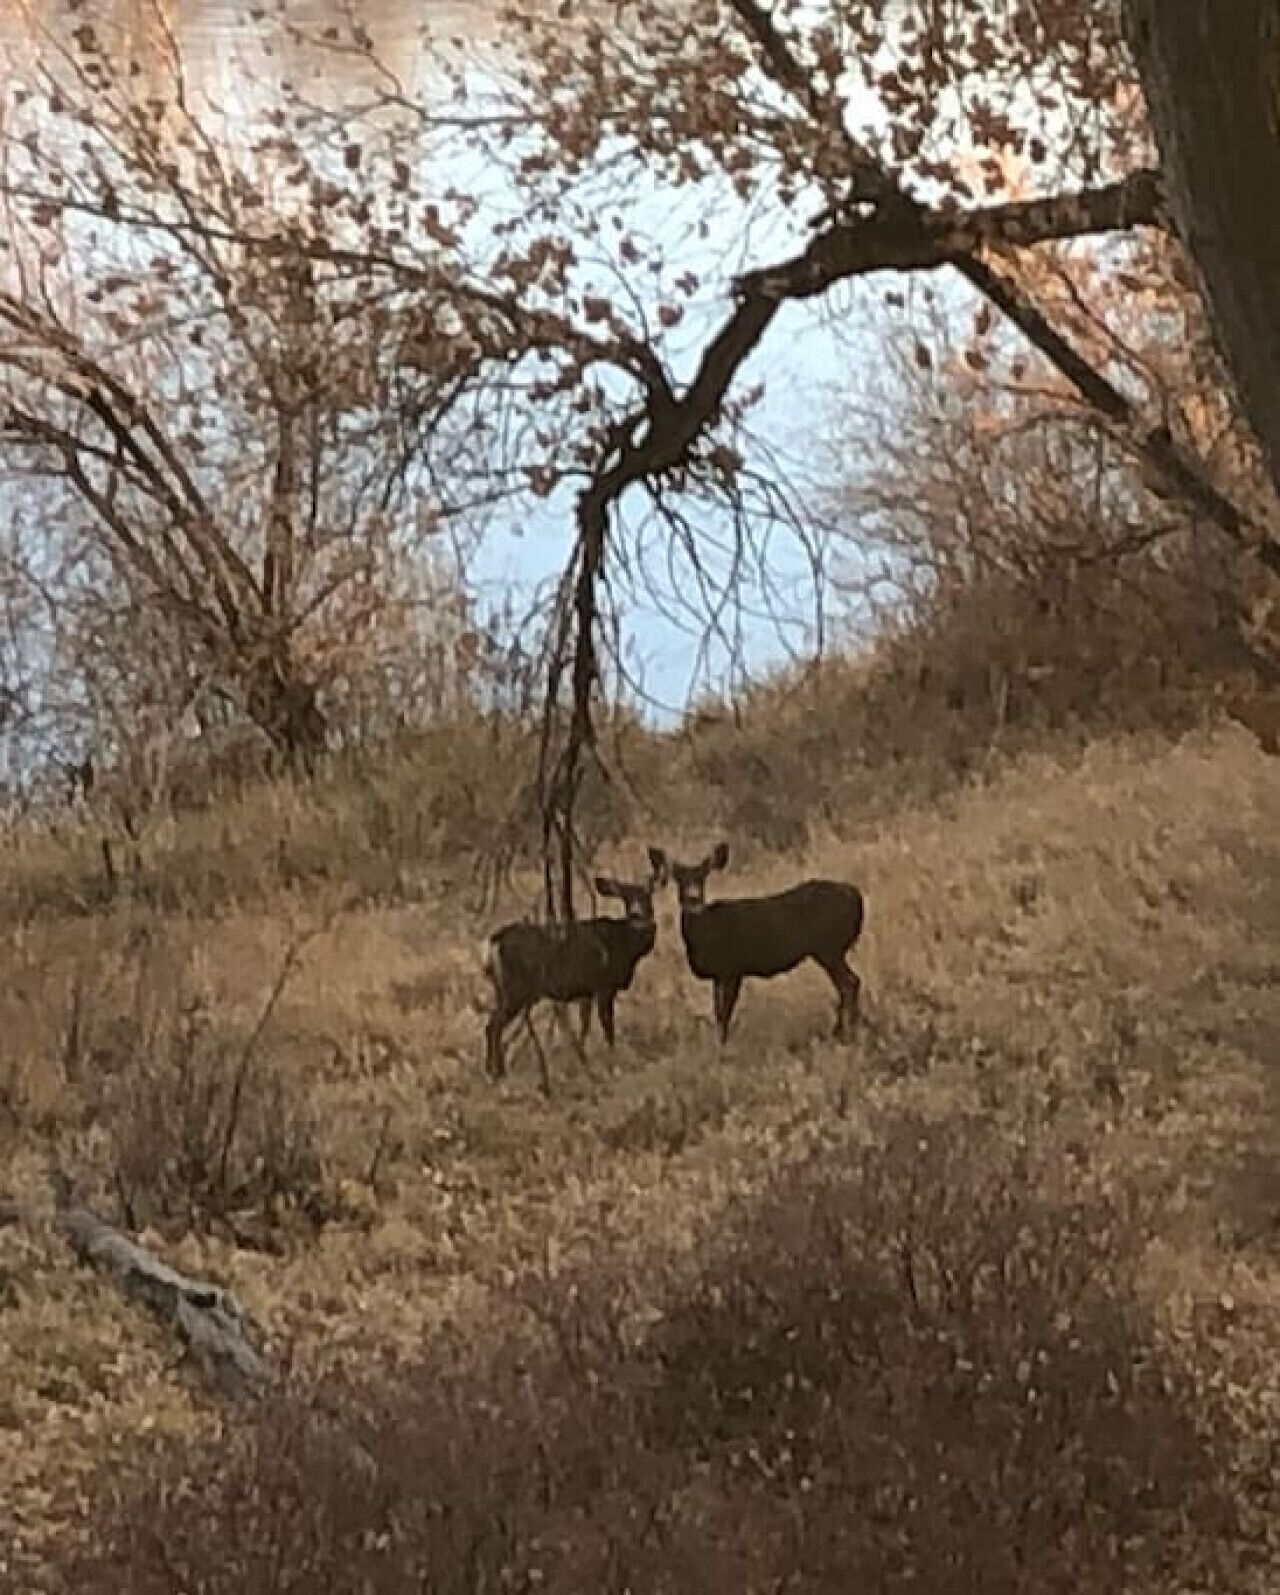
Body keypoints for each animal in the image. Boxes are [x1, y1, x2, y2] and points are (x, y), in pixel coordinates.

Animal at [480, 855, 667, 1080]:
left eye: (647, 895)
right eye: (626, 897)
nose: (637, 915)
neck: (625, 945)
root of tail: (494, 941)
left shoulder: (586, 991)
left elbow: (585, 1026)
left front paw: (582, 1059)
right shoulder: (603, 985)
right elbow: (607, 1025)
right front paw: (611, 1060)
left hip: (504, 989)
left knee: (491, 1024)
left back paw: (495, 1070)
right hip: (516, 989)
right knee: (493, 1025)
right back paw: (497, 1072)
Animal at [649, 842, 864, 1044]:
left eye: (703, 877)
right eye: (679, 878)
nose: (693, 899)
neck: (707, 932)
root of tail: (856, 895)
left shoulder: (732, 968)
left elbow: (724, 1012)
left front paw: (722, 1044)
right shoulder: (719, 974)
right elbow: (718, 1010)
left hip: (829, 947)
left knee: (850, 982)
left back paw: (843, 1034)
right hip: (831, 950)